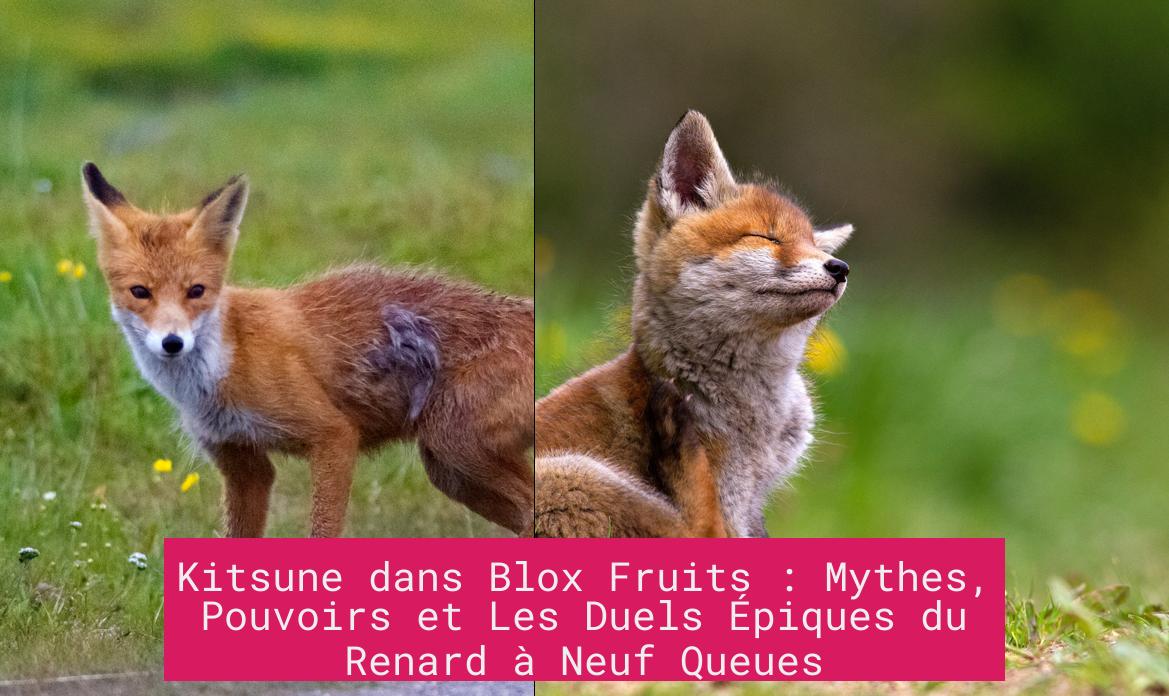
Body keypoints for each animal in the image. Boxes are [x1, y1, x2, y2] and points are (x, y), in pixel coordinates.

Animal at [81, 163, 533, 537]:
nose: (172, 343)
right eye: (140, 292)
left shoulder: (334, 435)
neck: (227, 361)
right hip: (452, 472)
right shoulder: (241, 462)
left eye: (197, 291)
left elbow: (322, 530)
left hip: (455, 448)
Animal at [533, 111, 853, 538]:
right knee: (692, 528)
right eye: (766, 237)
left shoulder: (750, 504)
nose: (840, 268)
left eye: (814, 246)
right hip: (573, 474)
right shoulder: (731, 496)